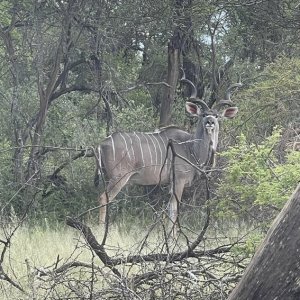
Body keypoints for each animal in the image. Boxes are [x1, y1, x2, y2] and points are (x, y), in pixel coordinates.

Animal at [95, 75, 241, 230]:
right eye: (203, 115)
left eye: (217, 116)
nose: (210, 122)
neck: (191, 148)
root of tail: (101, 144)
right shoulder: (178, 181)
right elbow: (174, 210)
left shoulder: (171, 184)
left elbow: (171, 209)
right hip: (118, 177)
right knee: (103, 198)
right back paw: (101, 229)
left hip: (108, 177)